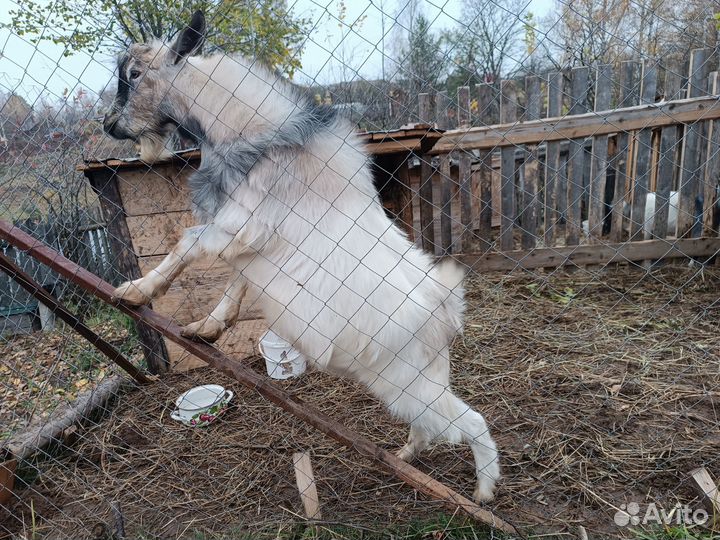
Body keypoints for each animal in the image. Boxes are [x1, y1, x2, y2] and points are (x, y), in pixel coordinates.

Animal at [102, 11, 500, 501]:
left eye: (135, 74)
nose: (109, 125)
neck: (256, 136)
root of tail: (445, 307)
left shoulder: (238, 227)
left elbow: (187, 244)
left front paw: (137, 291)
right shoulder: (249, 245)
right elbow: (236, 281)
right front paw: (208, 327)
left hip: (409, 384)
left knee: (472, 422)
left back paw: (483, 491)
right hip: (414, 382)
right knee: (431, 422)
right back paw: (407, 454)